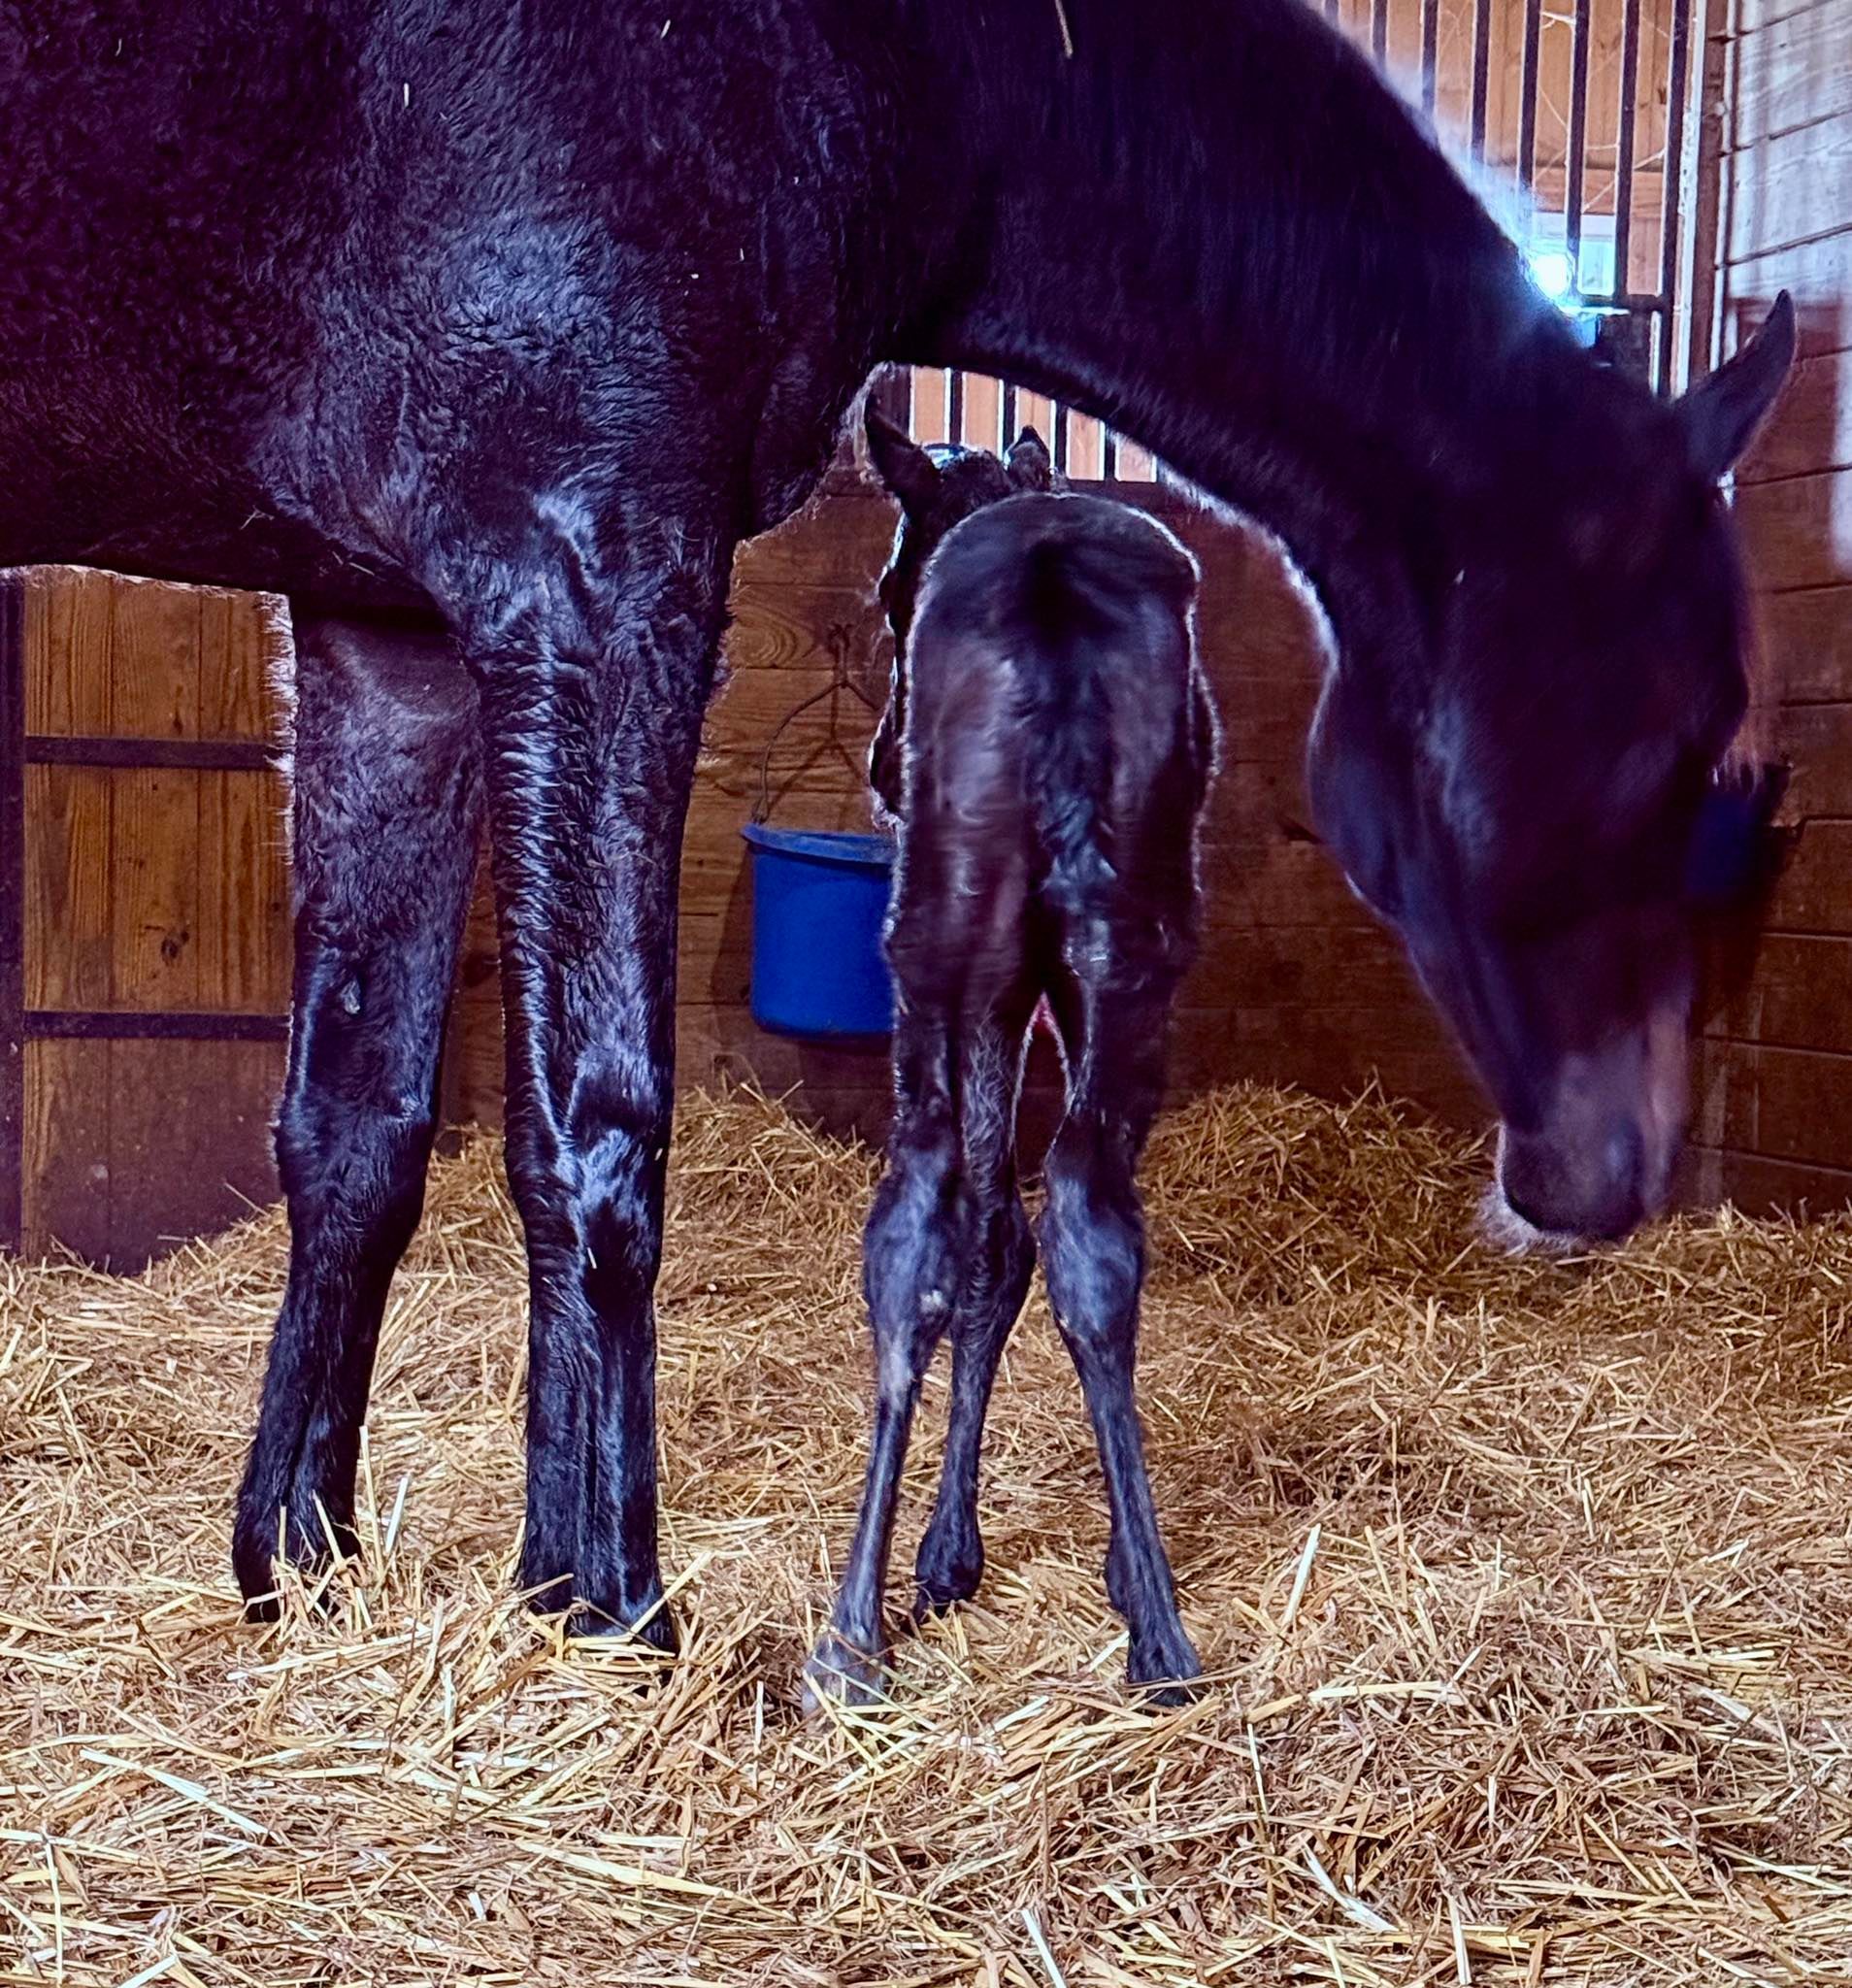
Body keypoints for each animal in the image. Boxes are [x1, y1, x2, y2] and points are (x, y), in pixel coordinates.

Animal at [808, 414, 1217, 1706]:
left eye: (890, 587)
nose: (883, 764)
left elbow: (986, 1247)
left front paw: (945, 1552)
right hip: (1124, 961)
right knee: (1083, 1230)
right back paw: (1153, 1624)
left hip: (940, 956)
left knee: (930, 1235)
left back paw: (853, 1630)